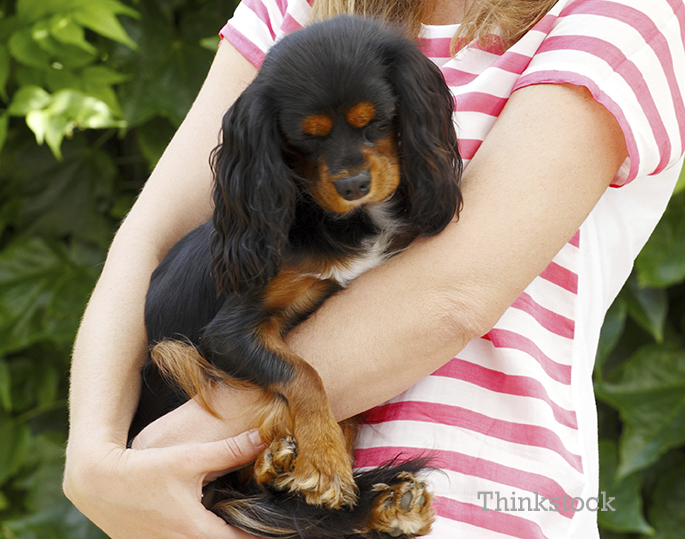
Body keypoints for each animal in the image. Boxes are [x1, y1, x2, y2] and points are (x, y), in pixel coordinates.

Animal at [128, 15, 460, 539]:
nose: (354, 185)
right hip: (169, 359)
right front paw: (324, 463)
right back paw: (283, 468)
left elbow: (341, 407)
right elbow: (303, 372)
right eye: (307, 138)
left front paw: (328, 465)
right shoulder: (226, 333)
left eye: (377, 121)